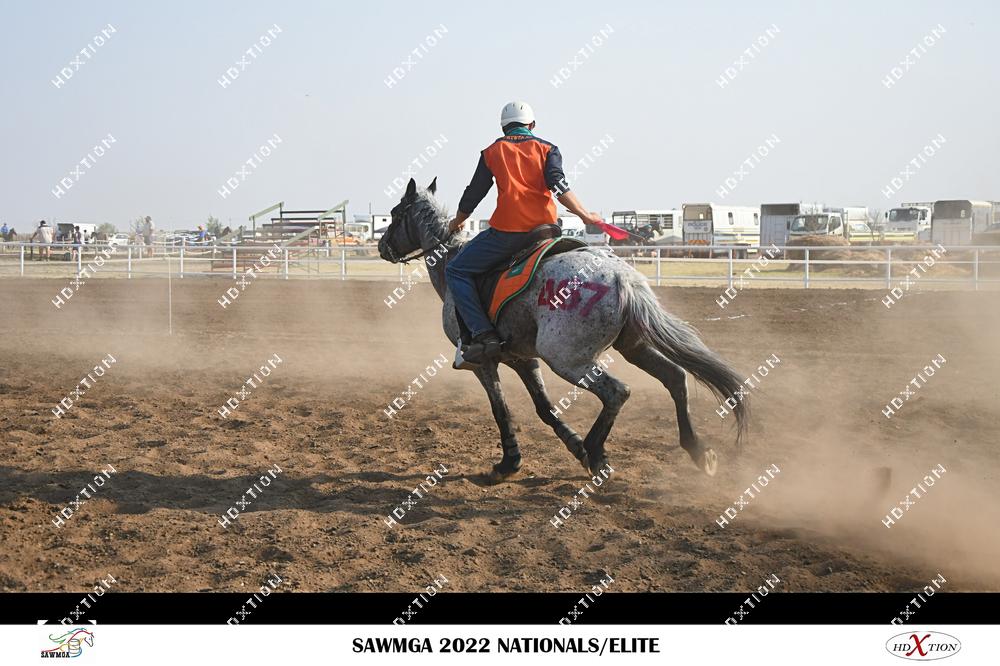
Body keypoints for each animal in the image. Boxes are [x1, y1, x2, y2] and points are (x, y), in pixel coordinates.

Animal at [378, 177, 748, 481]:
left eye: (395, 214)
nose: (382, 247)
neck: (450, 262)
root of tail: (623, 277)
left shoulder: (481, 362)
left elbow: (502, 410)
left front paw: (509, 463)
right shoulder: (522, 358)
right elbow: (544, 408)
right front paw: (569, 446)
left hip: (567, 359)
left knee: (618, 392)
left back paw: (596, 453)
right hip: (632, 346)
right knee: (675, 378)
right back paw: (696, 450)